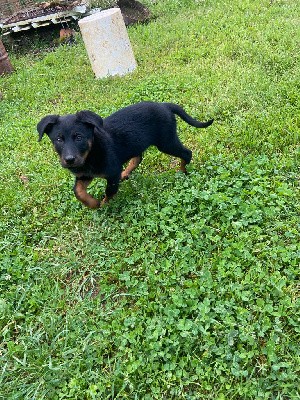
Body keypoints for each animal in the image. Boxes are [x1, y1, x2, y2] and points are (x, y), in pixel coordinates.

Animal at [37, 101, 213, 209]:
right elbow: (78, 191)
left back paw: (182, 171)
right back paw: (126, 173)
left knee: (186, 153)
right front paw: (93, 204)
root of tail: (165, 106)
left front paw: (104, 204)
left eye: (79, 137)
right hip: (139, 143)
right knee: (138, 158)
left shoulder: (112, 171)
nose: (69, 160)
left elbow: (110, 190)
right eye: (58, 139)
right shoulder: (85, 174)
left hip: (166, 141)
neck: (91, 152)